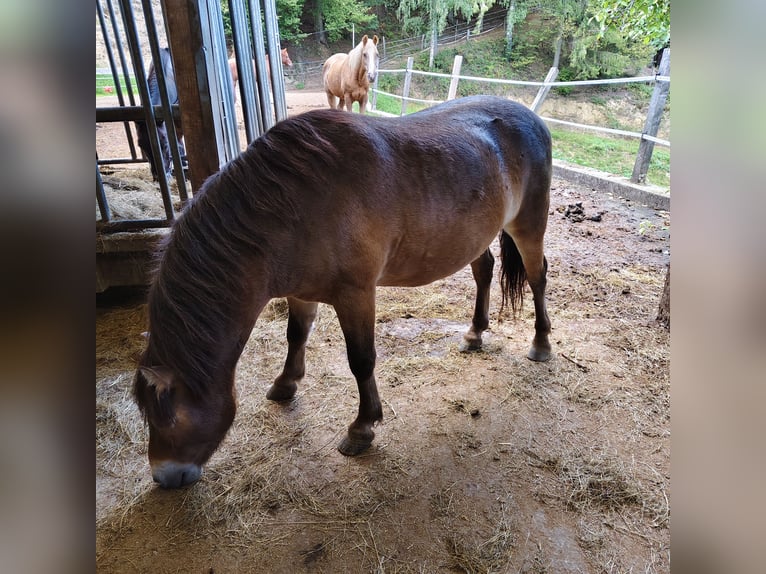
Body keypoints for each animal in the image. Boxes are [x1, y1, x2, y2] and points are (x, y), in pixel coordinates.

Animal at [133, 95, 552, 488]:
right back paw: (475, 333)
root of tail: (532, 119)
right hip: (476, 236)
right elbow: (296, 335)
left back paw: (541, 343)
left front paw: (362, 427)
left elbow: (361, 360)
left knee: (537, 279)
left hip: (528, 227)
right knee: (484, 271)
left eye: (170, 414)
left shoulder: (356, 294)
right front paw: (286, 383)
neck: (292, 207)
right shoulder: (300, 291)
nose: (164, 476)